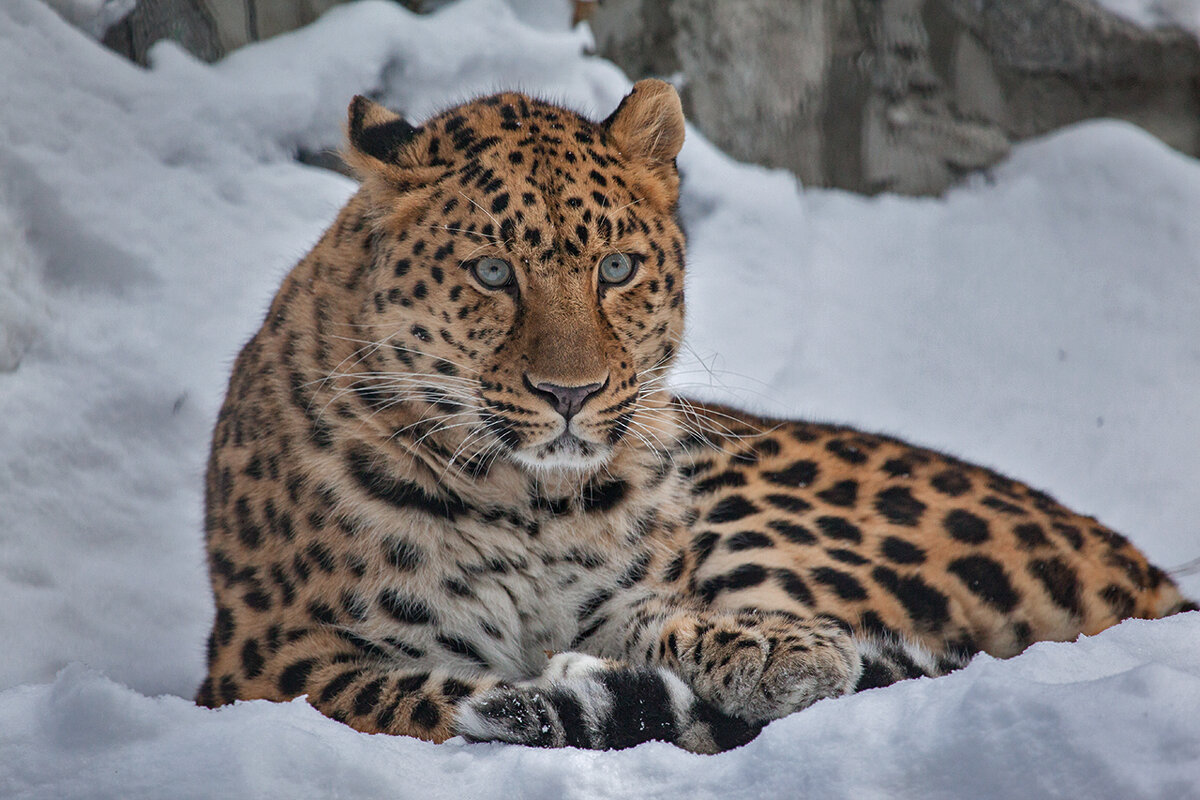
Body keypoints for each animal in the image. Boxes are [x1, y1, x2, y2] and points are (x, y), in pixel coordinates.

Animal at [196, 77, 1190, 753]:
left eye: (616, 268)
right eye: (490, 273)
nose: (571, 393)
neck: (528, 503)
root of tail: (1149, 575)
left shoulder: (626, 593)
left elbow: (667, 620)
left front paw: (780, 650)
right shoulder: (274, 662)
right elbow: (437, 694)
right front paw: (555, 688)